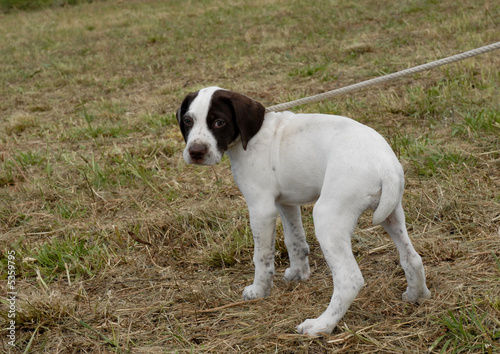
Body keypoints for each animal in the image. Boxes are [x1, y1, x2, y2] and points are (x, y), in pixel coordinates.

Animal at [176, 87, 430, 336]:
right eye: (188, 120)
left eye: (219, 122)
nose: (196, 152)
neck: (253, 136)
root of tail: (385, 166)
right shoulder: (286, 203)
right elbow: (294, 241)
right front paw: (299, 274)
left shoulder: (261, 208)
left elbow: (262, 256)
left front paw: (259, 291)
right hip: (392, 214)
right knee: (412, 258)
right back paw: (416, 295)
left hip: (327, 217)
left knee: (349, 279)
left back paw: (321, 326)